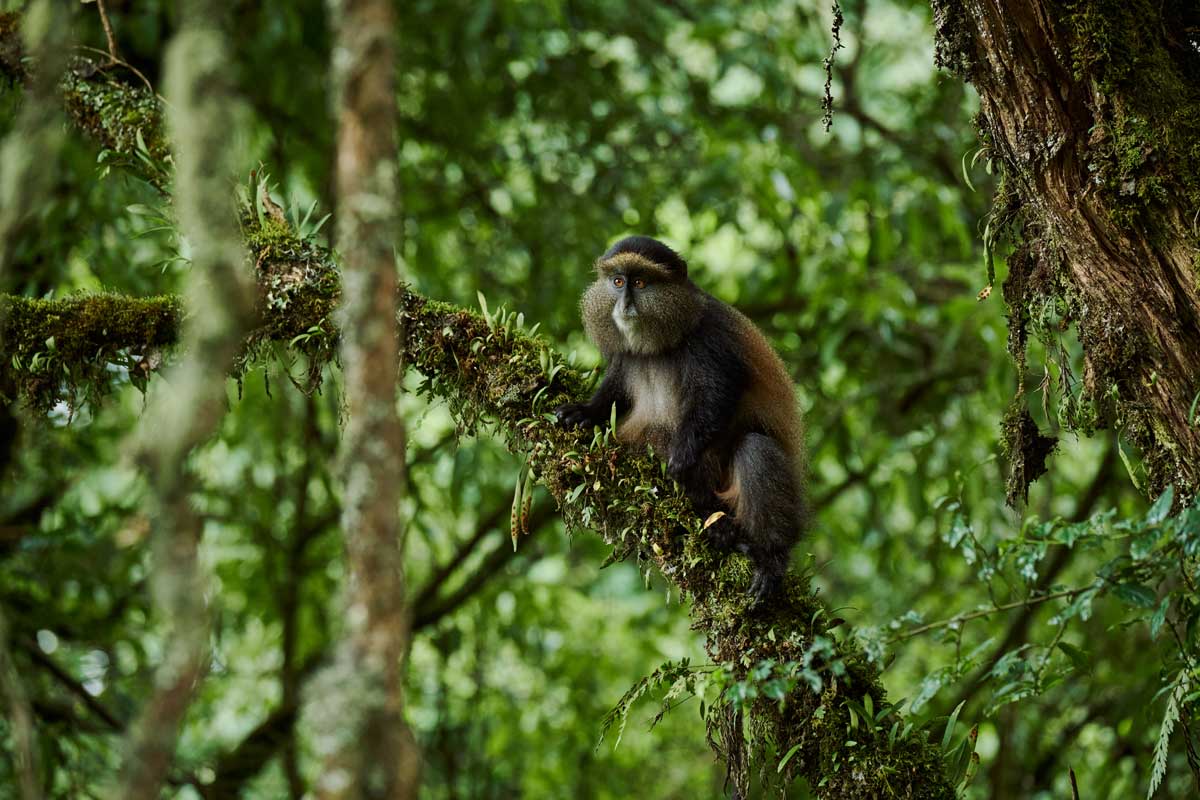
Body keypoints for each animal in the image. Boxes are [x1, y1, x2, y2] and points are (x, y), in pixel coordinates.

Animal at [555, 235, 805, 605]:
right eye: (618, 282)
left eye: (640, 283)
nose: (624, 304)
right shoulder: (624, 356)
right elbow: (615, 390)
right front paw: (585, 412)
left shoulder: (709, 340)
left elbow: (717, 395)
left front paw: (682, 457)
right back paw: (719, 529)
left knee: (755, 449)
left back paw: (769, 558)